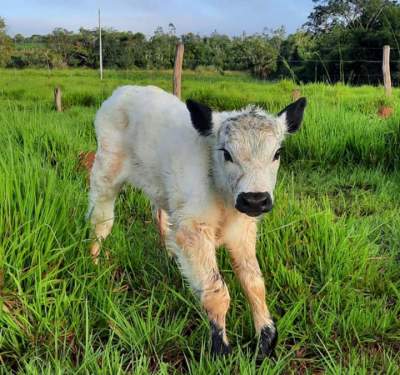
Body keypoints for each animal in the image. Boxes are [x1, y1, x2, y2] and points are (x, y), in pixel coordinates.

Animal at [87, 86, 306, 358]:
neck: (222, 196)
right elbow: (217, 292)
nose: (255, 200)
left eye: (277, 153)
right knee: (101, 221)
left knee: (160, 216)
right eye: (226, 153)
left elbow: (254, 283)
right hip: (106, 171)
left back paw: (170, 258)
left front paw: (266, 341)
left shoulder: (242, 230)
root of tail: (122, 91)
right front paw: (220, 349)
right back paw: (95, 265)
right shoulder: (193, 230)